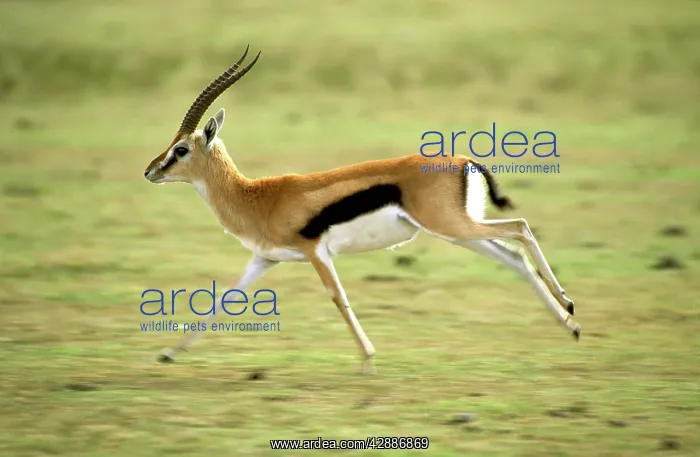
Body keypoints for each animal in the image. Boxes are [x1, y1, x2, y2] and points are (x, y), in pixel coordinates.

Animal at [144, 45, 581, 374]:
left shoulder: (315, 251)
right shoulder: (264, 259)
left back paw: (569, 305)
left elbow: (338, 297)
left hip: (454, 226)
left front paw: (368, 359)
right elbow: (225, 299)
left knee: (520, 227)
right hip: (460, 231)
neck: (257, 197)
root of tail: (464, 160)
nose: (149, 170)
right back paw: (570, 325)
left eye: (180, 149)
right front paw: (169, 352)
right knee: (515, 257)